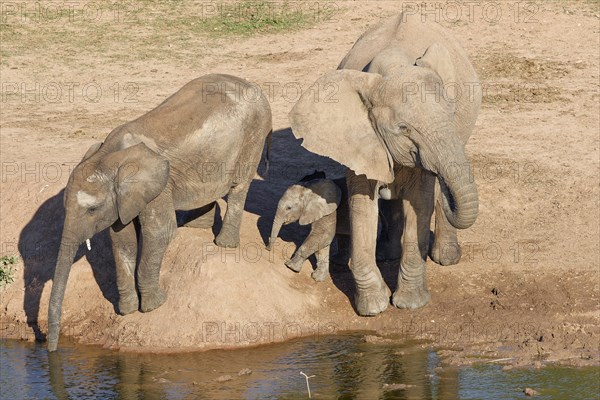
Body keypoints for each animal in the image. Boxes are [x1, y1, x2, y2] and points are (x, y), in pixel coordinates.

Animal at [48, 74, 274, 350]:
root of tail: (254, 86)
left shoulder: (160, 187)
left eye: (92, 210)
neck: (111, 156)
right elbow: (122, 239)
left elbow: (160, 233)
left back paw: (224, 244)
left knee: (240, 186)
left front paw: (154, 306)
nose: (51, 350)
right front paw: (127, 310)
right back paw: (195, 226)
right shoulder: (125, 198)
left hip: (254, 135)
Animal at [288, 12, 480, 316]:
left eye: (450, 113)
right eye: (403, 128)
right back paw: (387, 254)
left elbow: (421, 200)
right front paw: (372, 308)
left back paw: (446, 258)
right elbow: (362, 202)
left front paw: (411, 304)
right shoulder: (358, 138)